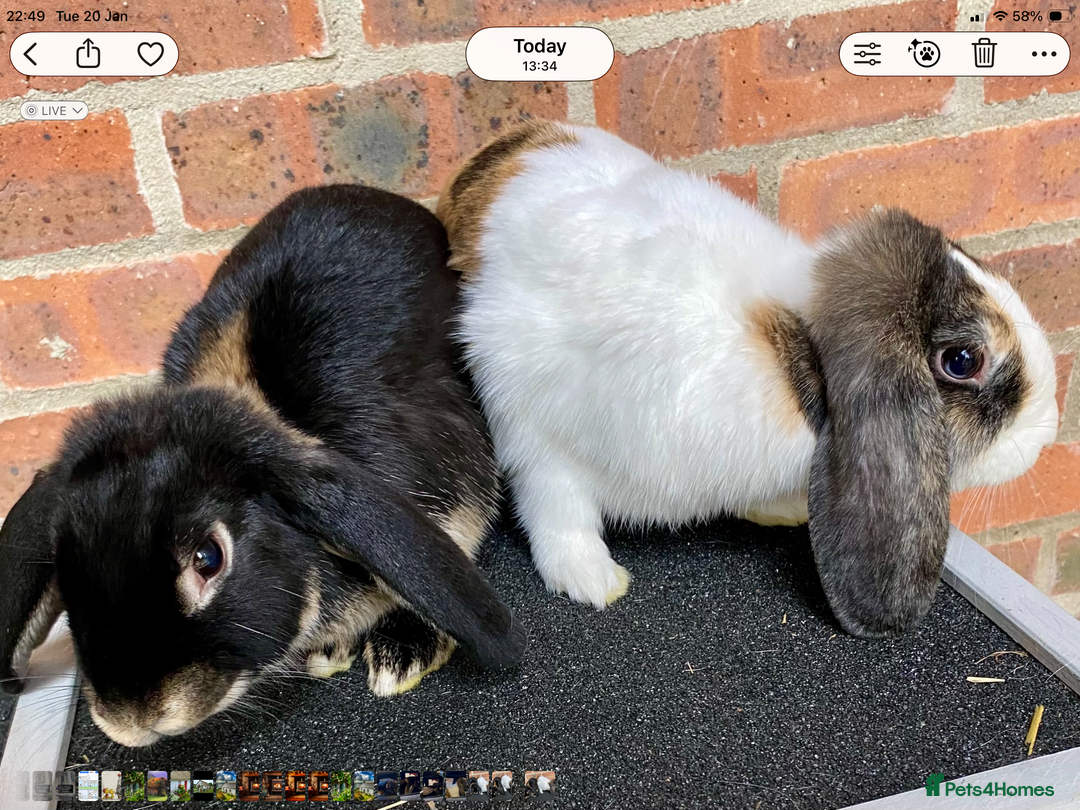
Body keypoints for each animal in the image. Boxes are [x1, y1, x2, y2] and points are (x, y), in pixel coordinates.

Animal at [436, 121, 1059, 636]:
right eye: (962, 361)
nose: (1049, 430)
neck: (795, 351)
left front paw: (783, 511)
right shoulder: (539, 431)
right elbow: (559, 513)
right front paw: (593, 582)